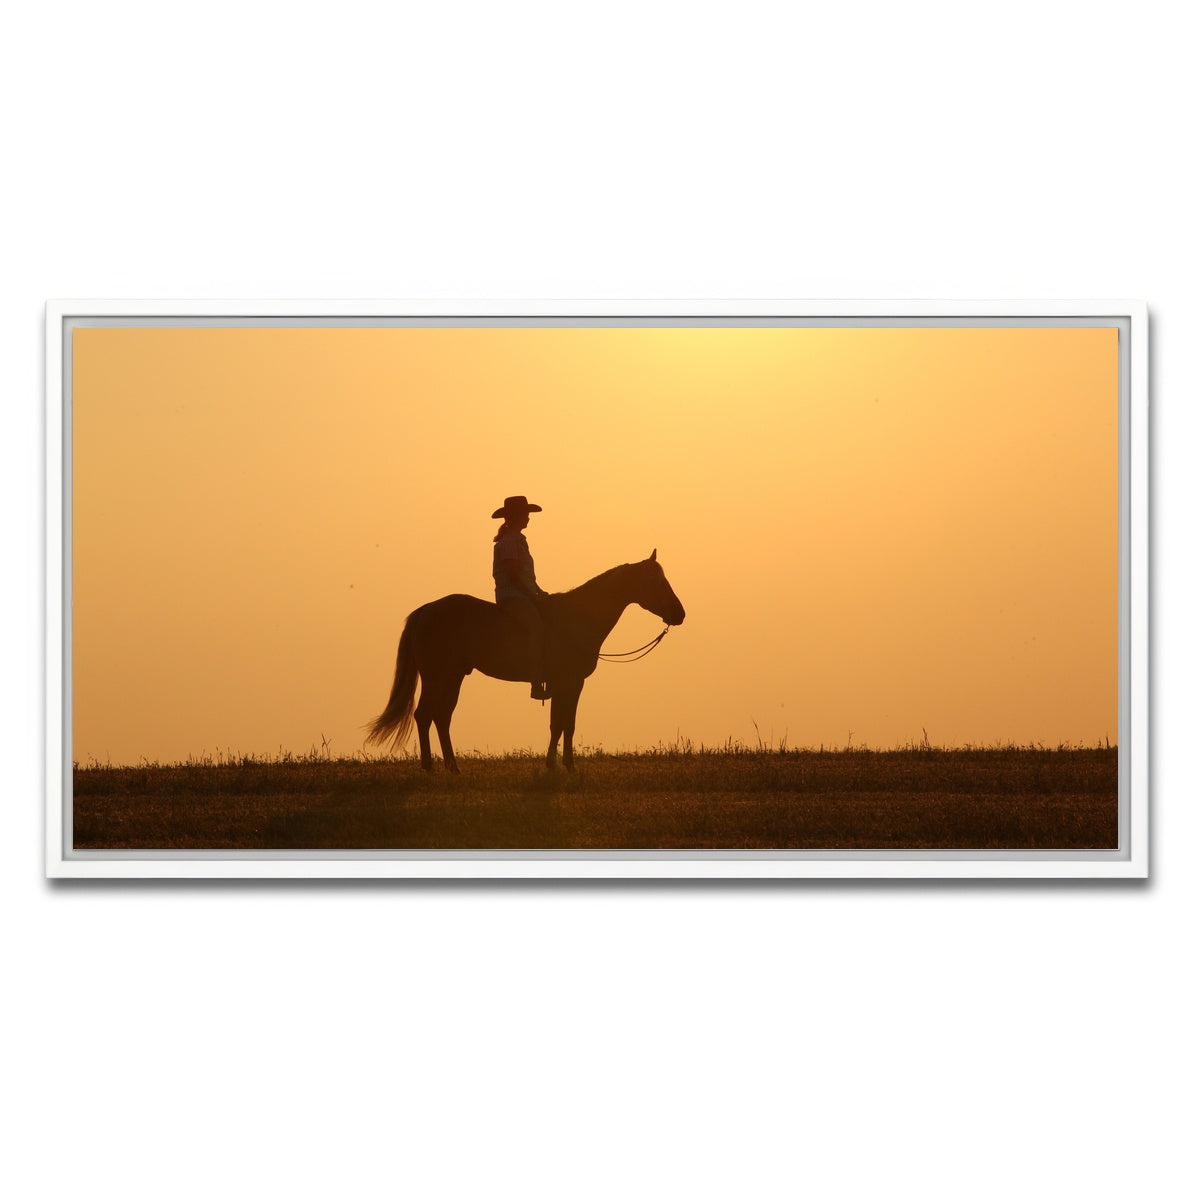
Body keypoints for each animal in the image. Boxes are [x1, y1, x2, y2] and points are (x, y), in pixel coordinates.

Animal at [365, 551, 686, 770]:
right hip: (436, 676)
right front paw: (561, 766)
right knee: (424, 715)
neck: (576, 618)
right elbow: (561, 724)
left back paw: (453, 767)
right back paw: (430, 767)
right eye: (656, 581)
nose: (679, 613)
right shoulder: (568, 682)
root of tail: (424, 611)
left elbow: (563, 724)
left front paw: (560, 765)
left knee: (442, 717)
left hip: (453, 677)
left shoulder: (569, 685)